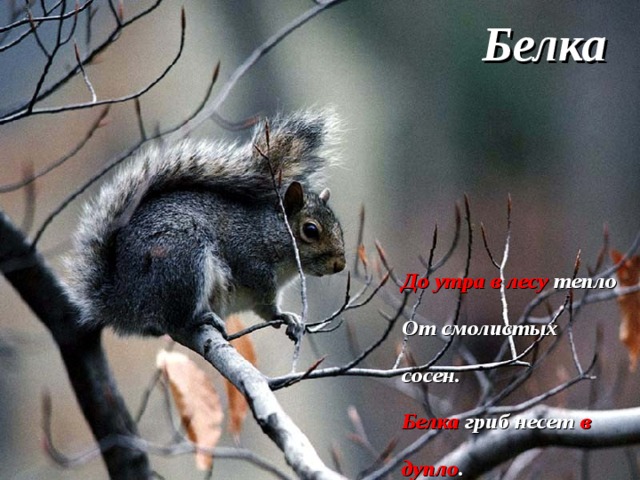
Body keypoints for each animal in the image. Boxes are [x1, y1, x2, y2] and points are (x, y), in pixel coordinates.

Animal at [65, 110, 346, 341]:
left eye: (339, 228)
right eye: (310, 230)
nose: (340, 265)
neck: (269, 233)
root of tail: (123, 300)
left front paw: (291, 320)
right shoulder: (253, 265)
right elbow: (266, 307)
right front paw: (284, 315)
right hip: (183, 260)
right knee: (174, 320)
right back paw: (201, 318)